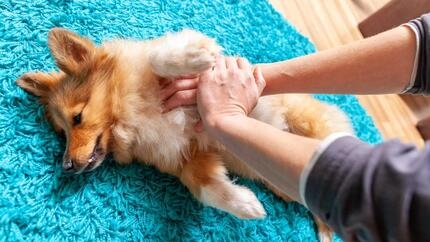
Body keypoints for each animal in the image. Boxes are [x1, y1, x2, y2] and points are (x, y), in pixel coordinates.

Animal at [15, 27, 352, 240]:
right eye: (62, 134)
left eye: (78, 118)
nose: (67, 167)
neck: (128, 116)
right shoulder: (190, 156)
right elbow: (205, 188)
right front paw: (245, 205)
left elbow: (159, 57)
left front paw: (196, 55)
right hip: (291, 182)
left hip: (309, 126)